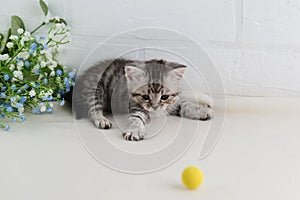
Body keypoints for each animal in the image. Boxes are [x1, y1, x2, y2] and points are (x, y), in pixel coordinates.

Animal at [73, 58, 213, 141]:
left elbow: (186, 104)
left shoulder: (173, 103)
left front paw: (202, 110)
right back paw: (102, 120)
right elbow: (136, 118)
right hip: (94, 90)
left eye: (164, 97)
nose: (155, 107)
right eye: (145, 96)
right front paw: (135, 130)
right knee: (93, 109)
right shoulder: (135, 106)